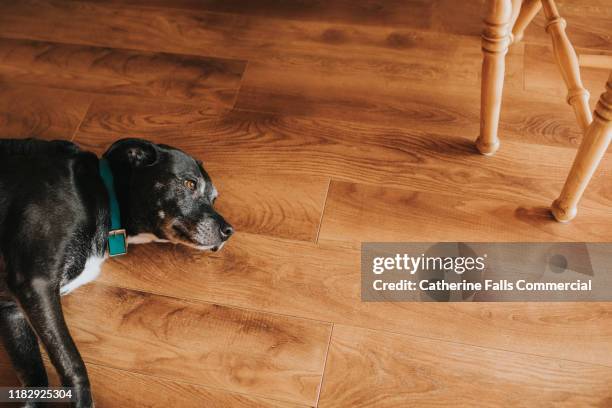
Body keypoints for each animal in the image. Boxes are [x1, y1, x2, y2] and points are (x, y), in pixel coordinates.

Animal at [0, 139, 234, 406]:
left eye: (213, 199)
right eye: (189, 184)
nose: (229, 231)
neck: (99, 193)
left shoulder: (12, 309)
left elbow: (35, 377)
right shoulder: (35, 283)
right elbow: (72, 363)